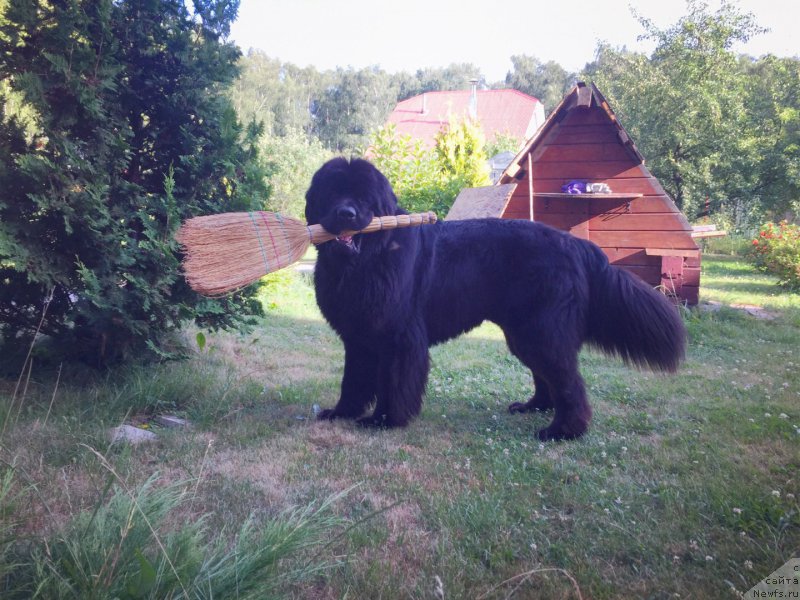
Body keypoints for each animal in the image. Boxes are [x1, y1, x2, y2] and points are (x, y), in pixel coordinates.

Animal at [306, 159, 688, 440]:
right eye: (331, 194)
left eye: (364, 198)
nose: (346, 214)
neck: (367, 260)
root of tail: (575, 244)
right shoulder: (358, 338)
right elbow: (353, 380)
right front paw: (341, 412)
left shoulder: (399, 338)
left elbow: (393, 383)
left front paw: (385, 419)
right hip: (526, 332)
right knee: (548, 376)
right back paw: (534, 407)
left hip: (542, 330)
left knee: (569, 382)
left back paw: (562, 431)